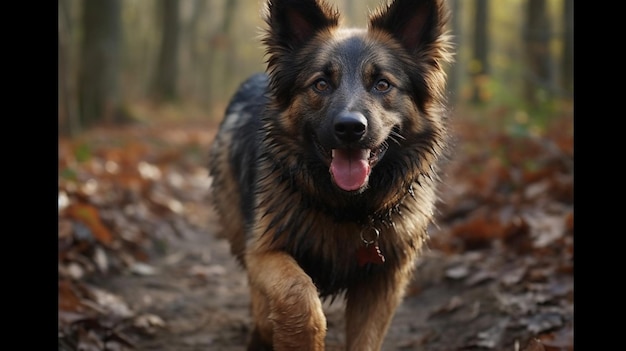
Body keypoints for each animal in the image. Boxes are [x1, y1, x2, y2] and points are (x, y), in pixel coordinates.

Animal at [208, 0, 448, 350]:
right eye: (321, 84)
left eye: (382, 84)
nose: (350, 128)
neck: (347, 207)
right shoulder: (263, 251)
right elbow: (297, 295)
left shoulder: (384, 277)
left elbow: (365, 339)